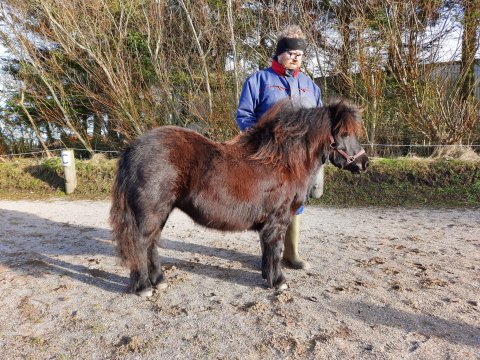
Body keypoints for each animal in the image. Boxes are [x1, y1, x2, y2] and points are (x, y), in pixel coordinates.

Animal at [110, 97, 370, 296]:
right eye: (344, 133)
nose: (364, 164)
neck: (282, 162)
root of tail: (132, 148)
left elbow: (268, 250)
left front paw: (267, 275)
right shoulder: (278, 219)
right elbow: (275, 249)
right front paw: (279, 281)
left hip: (159, 213)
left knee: (152, 243)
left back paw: (160, 280)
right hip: (151, 212)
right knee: (140, 244)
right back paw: (144, 287)